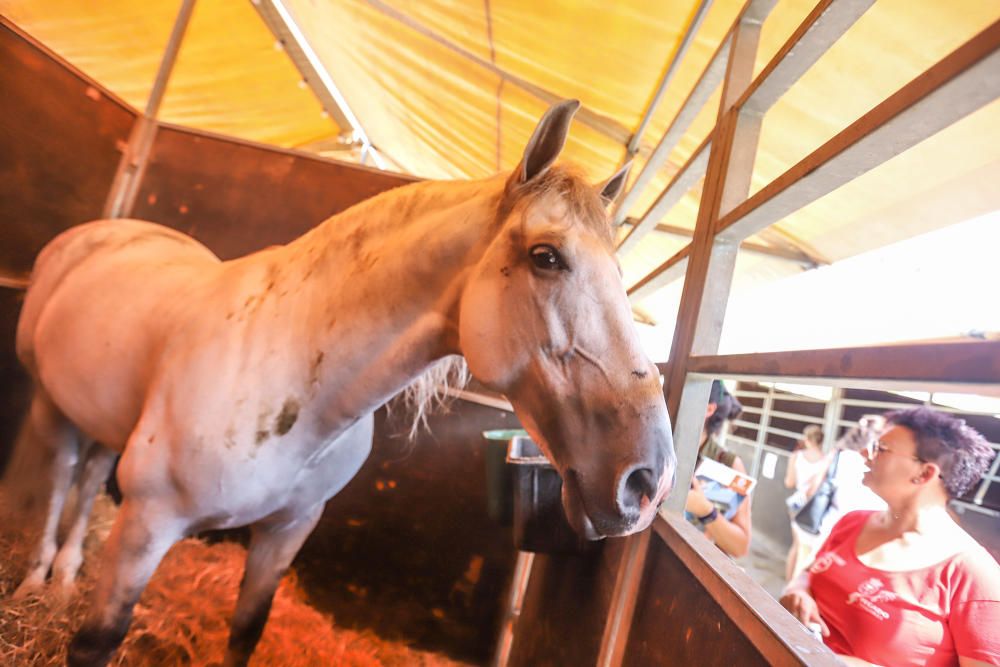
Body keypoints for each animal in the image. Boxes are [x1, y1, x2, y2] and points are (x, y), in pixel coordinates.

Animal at [5, 100, 672, 667]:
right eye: (546, 256)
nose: (650, 481)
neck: (291, 370)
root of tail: (106, 232)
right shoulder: (148, 525)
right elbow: (96, 643)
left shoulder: (286, 533)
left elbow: (245, 633)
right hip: (48, 405)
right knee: (61, 478)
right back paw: (37, 583)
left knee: (88, 476)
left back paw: (66, 575)